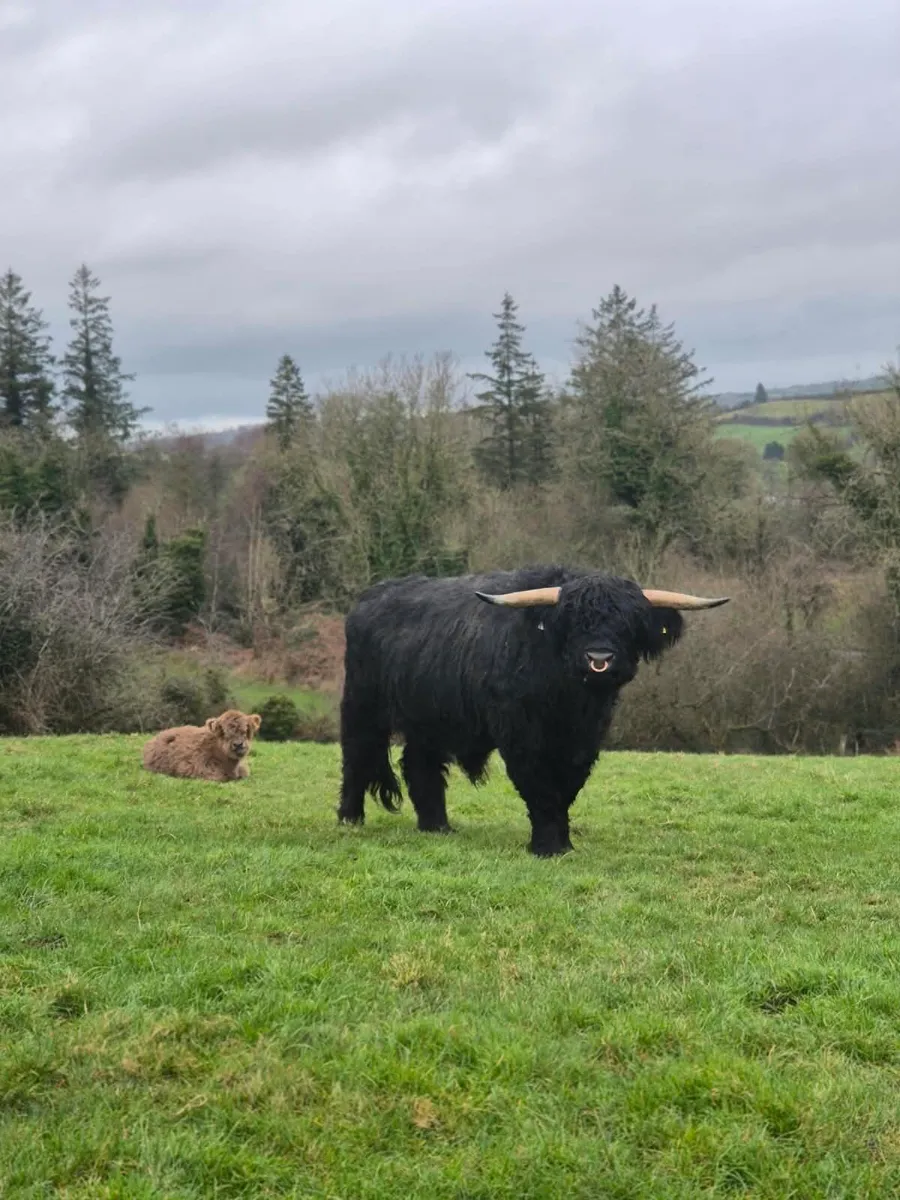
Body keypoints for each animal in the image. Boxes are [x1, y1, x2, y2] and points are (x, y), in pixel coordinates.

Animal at [336, 565, 729, 856]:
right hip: (361, 704)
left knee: (421, 765)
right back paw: (349, 819)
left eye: (627, 624)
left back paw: (437, 827)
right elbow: (539, 786)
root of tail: (370, 597)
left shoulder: (585, 739)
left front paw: (564, 843)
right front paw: (546, 846)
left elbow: (567, 787)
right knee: (356, 757)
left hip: (430, 718)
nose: (599, 658)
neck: (569, 700)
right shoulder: (521, 735)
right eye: (573, 622)